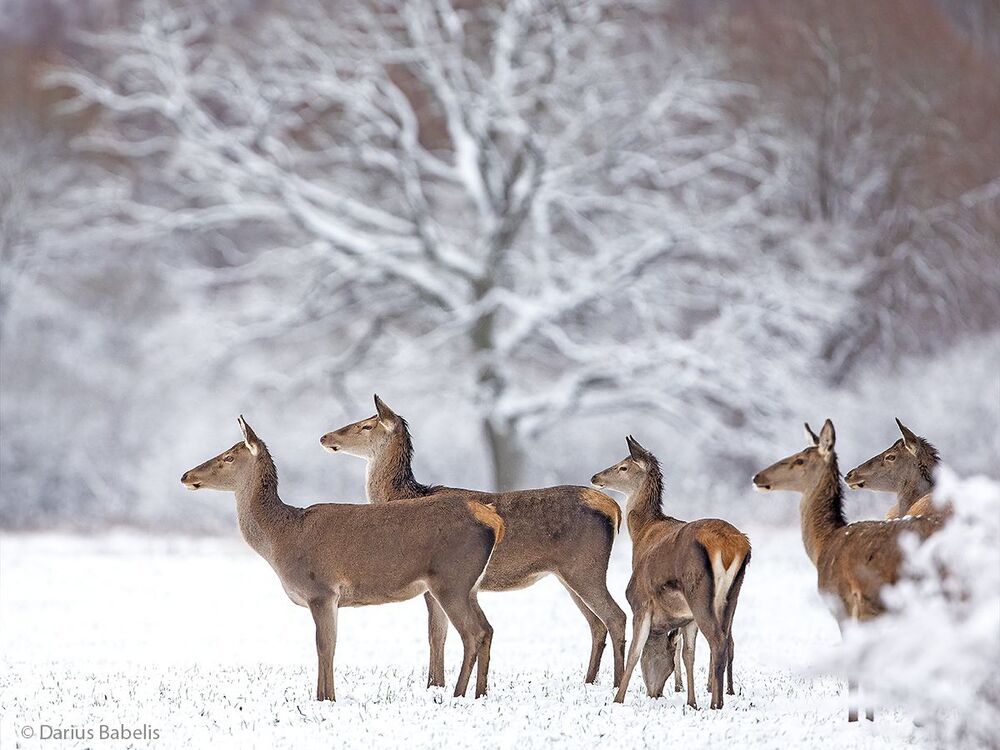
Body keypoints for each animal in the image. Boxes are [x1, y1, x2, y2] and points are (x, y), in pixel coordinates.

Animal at [180, 416, 503, 701]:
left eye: (228, 457)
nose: (186, 475)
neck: (281, 537)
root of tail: (493, 520)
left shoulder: (321, 589)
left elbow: (324, 647)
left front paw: (326, 698)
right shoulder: (331, 597)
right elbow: (329, 646)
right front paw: (324, 695)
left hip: (452, 580)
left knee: (473, 632)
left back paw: (458, 694)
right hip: (469, 585)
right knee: (487, 628)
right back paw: (480, 693)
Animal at [319, 395, 627, 689]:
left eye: (366, 425)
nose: (325, 437)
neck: (402, 496)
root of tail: (614, 507)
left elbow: (435, 634)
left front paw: (435, 684)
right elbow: (440, 634)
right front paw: (437, 684)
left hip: (585, 567)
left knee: (615, 617)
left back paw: (616, 683)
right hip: (567, 574)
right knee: (596, 624)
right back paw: (589, 681)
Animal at [591, 436, 751, 709]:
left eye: (623, 466)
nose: (595, 477)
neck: (642, 534)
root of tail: (733, 547)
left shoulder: (640, 600)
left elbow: (636, 651)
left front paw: (618, 699)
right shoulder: (686, 618)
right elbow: (687, 653)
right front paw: (690, 701)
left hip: (699, 593)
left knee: (718, 641)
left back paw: (715, 703)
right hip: (733, 596)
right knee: (728, 641)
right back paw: (723, 693)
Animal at [752, 419, 943, 721]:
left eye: (799, 459)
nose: (757, 477)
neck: (825, 544)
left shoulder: (843, 603)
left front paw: (854, 719)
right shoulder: (869, 613)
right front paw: (869, 717)